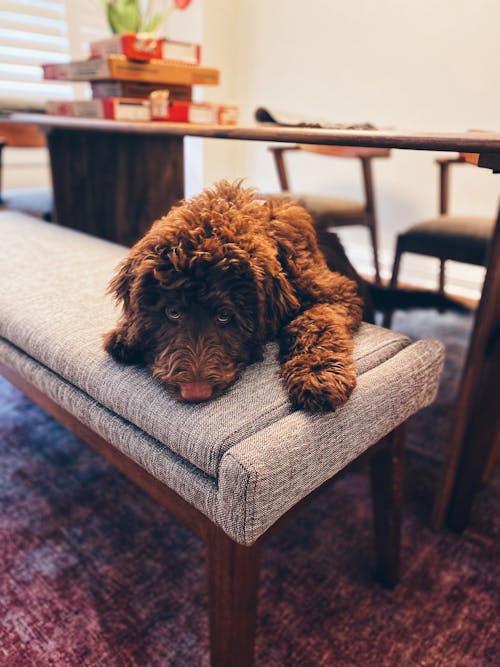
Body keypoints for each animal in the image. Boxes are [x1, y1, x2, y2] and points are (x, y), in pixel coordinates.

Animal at [104, 180, 364, 410]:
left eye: (225, 315)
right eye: (173, 312)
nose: (195, 393)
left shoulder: (336, 294)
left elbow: (316, 323)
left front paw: (318, 373)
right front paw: (126, 334)